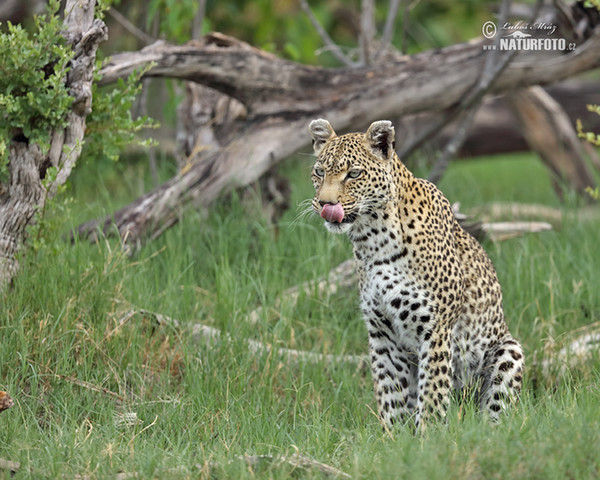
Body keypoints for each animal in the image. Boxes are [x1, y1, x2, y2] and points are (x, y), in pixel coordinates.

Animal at [308, 117, 524, 432]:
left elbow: (432, 394)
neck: (372, 239)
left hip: (509, 351)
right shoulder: (382, 333)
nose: (325, 205)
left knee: (496, 416)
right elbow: (390, 394)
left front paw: (427, 438)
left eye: (354, 174)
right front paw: (394, 438)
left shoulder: (435, 329)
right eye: (319, 172)